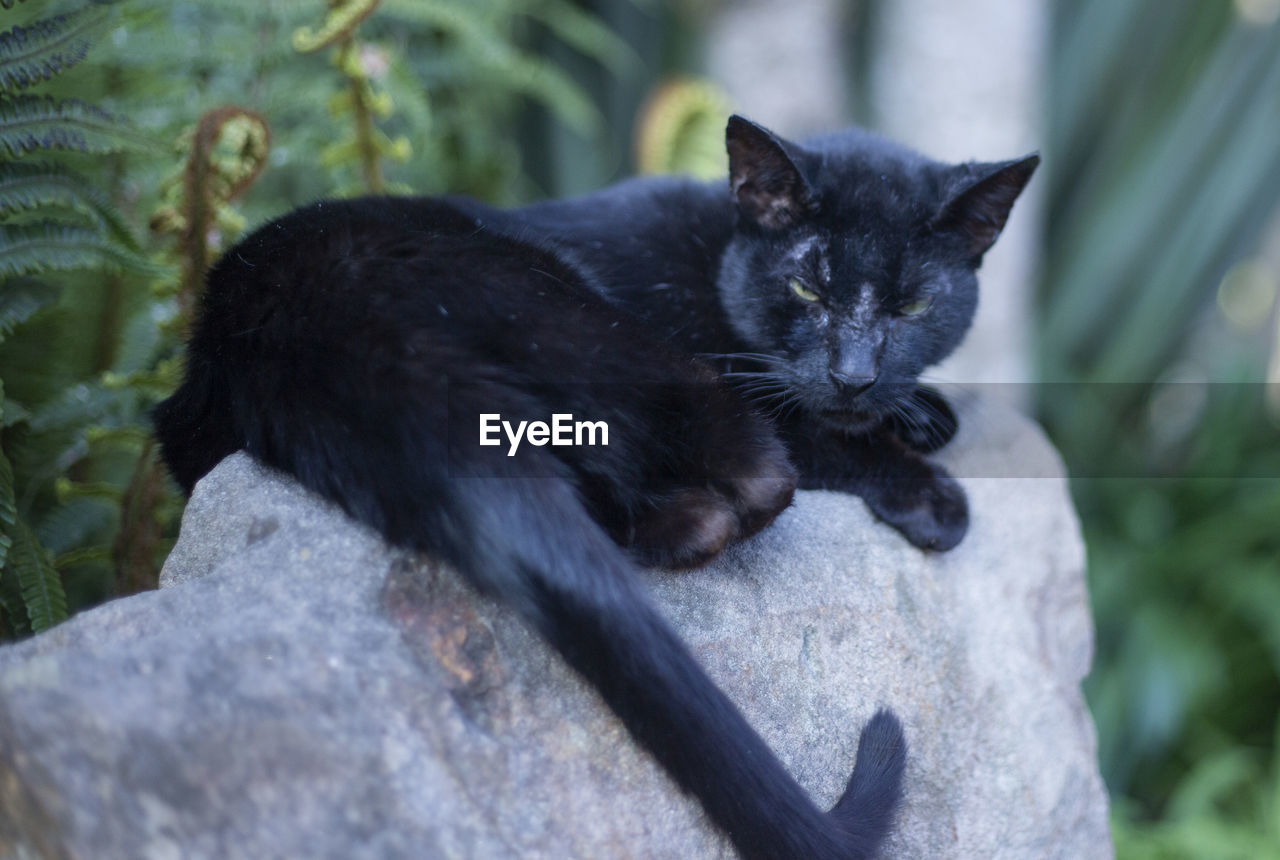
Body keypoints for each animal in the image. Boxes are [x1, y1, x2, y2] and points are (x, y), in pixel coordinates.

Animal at [157, 115, 1039, 860]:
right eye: (807, 290)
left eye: (912, 305)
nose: (853, 375)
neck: (715, 249)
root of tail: (298, 315)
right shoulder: (736, 368)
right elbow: (816, 430)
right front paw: (928, 490)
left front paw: (920, 412)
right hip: (588, 324)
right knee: (758, 476)